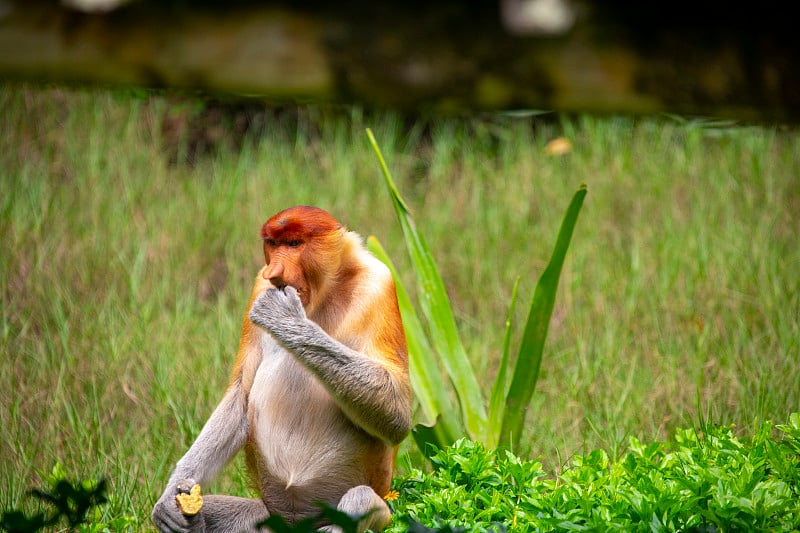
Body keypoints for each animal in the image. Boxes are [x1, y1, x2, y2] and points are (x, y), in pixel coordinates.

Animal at [152, 206, 412, 532]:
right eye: (273, 244)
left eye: (294, 244)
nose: (273, 272)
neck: (325, 293)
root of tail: (295, 523)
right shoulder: (258, 286)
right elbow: (240, 395)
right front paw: (169, 500)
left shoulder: (380, 285)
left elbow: (397, 414)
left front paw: (285, 318)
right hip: (266, 513)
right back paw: (192, 518)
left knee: (361, 498)